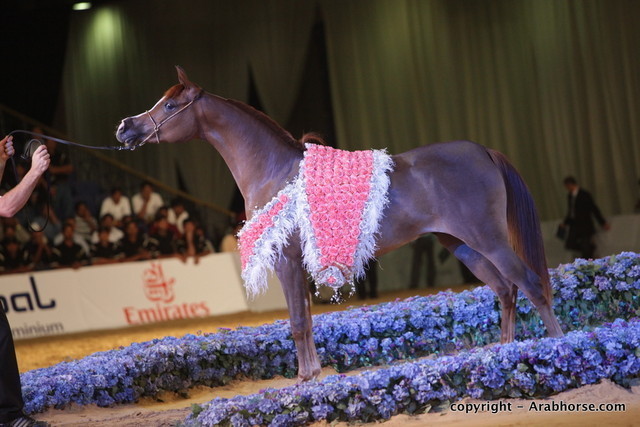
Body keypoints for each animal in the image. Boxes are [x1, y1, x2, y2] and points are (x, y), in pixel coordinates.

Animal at [116, 66, 563, 381]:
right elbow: (307, 319)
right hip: (463, 245)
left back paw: (562, 346)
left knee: (530, 283)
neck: (277, 170)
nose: (125, 127)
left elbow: (297, 322)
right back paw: (504, 351)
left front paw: (305, 378)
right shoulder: (299, 264)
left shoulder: (286, 261)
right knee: (506, 290)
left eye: (170, 106)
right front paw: (313, 371)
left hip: (489, 239)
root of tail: (483, 151)